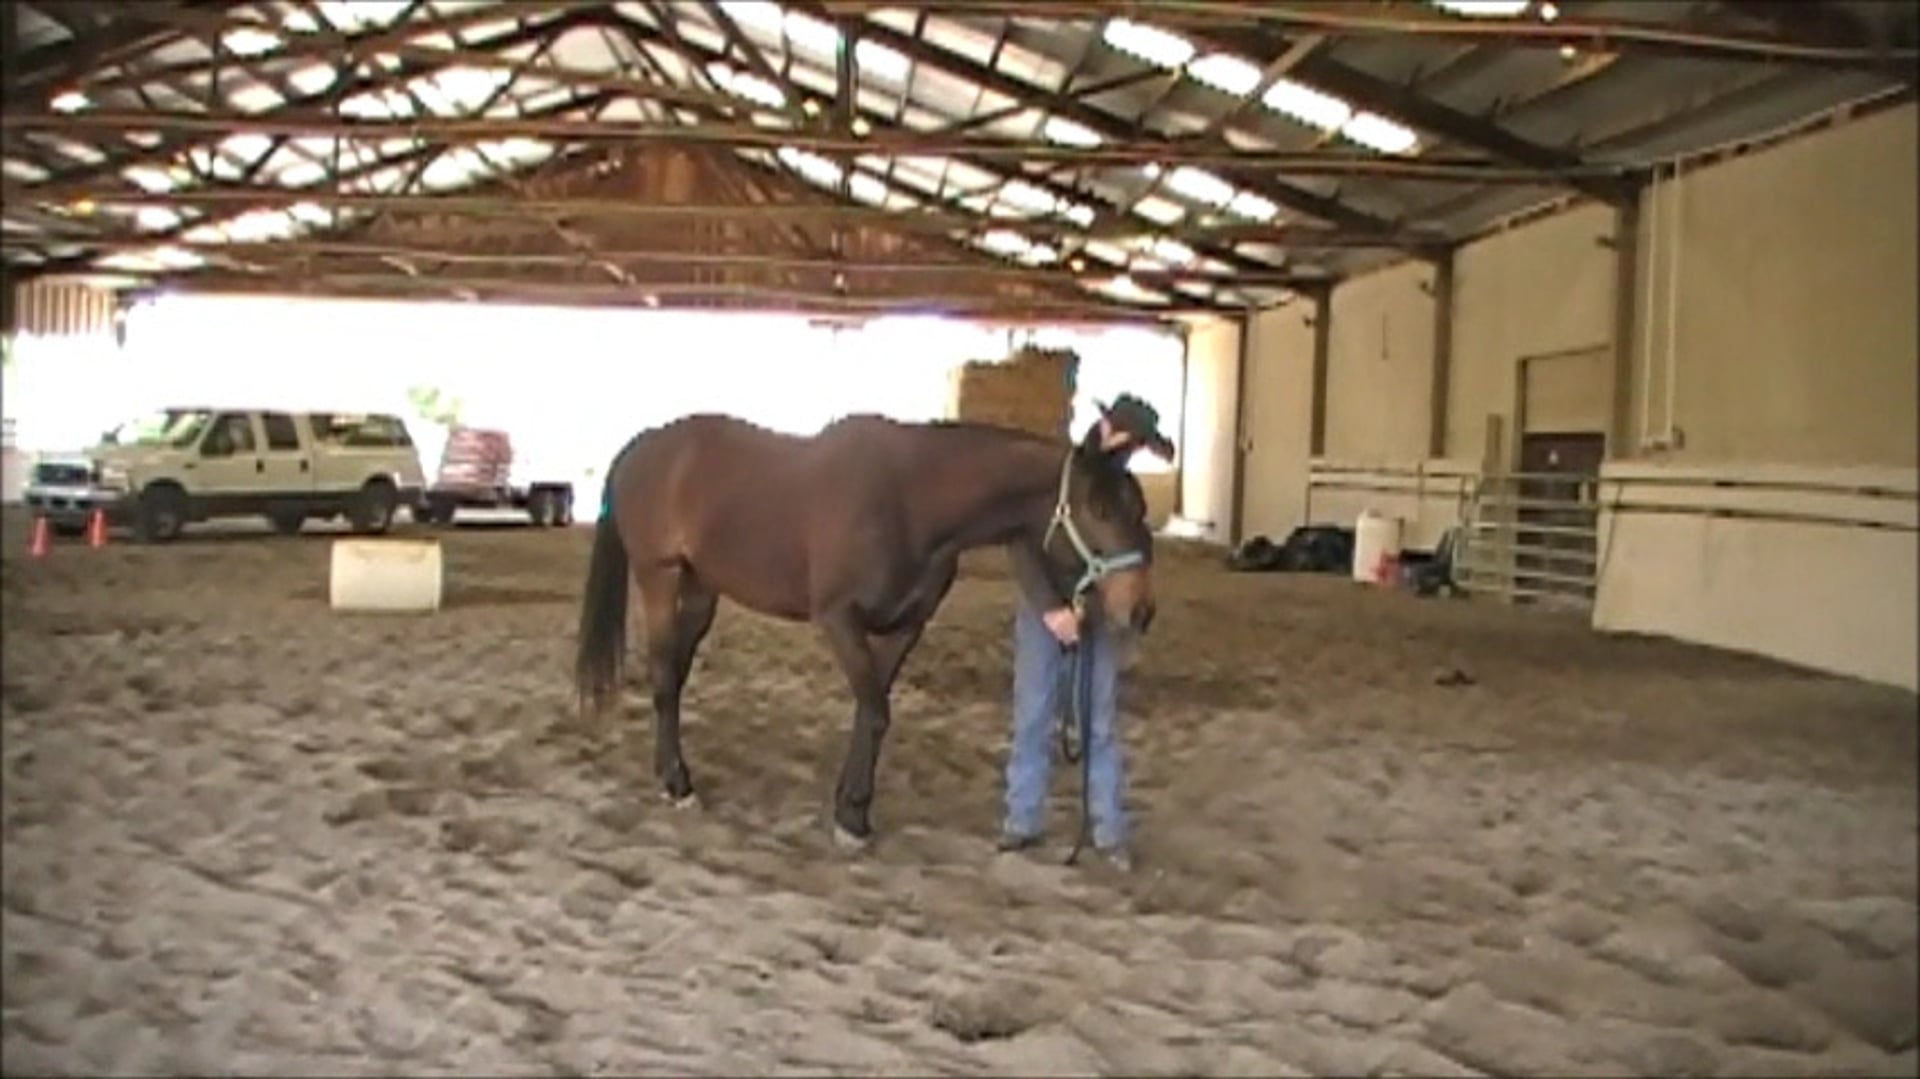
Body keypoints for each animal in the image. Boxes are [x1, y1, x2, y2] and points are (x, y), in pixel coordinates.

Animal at [572, 411, 1158, 851]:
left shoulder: (904, 626)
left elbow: (871, 711)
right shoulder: (839, 618)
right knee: (663, 678)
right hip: (659, 576)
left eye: (1139, 507)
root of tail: (642, 447)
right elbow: (875, 711)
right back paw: (676, 784)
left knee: (676, 676)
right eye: (1099, 507)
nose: (1141, 611)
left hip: (701, 589)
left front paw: (851, 807)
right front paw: (851, 818)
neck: (912, 498)